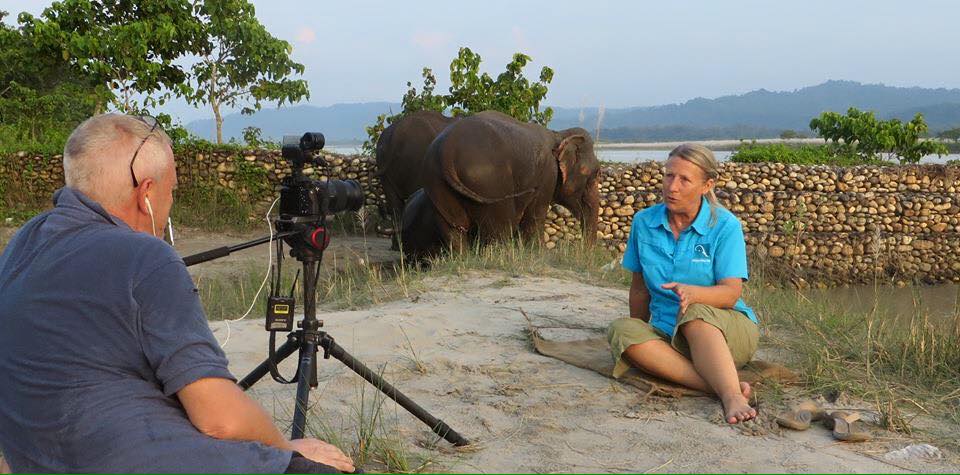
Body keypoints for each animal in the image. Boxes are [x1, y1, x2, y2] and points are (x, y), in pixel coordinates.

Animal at [404, 110, 600, 256]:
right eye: (595, 174)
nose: (584, 251)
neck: (559, 135)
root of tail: (446, 151)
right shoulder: (547, 176)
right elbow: (535, 217)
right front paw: (540, 254)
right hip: (489, 184)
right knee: (499, 229)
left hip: (437, 186)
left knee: (454, 229)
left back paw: (463, 258)